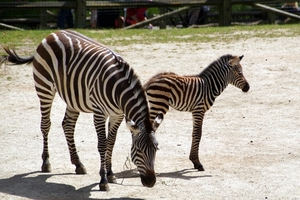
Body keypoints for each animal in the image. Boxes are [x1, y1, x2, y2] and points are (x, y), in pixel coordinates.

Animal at [0, 29, 162, 191]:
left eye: (156, 149)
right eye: (139, 150)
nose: (151, 182)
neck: (118, 88)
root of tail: (52, 33)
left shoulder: (117, 114)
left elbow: (111, 142)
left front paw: (110, 174)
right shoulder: (99, 113)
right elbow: (102, 144)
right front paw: (103, 180)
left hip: (73, 97)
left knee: (68, 125)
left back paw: (78, 163)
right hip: (44, 87)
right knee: (45, 124)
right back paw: (46, 162)